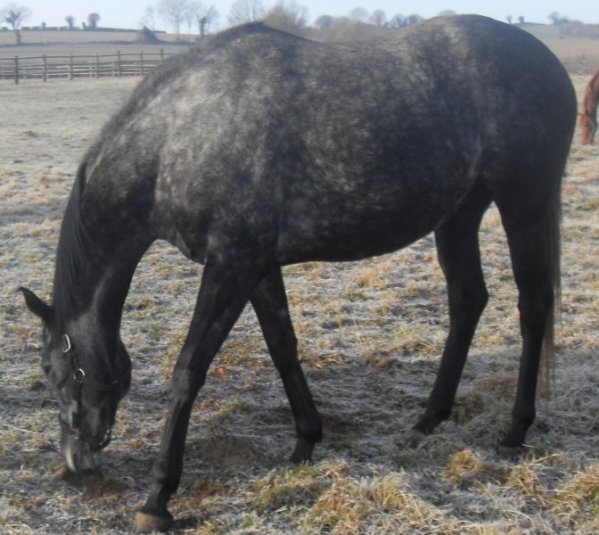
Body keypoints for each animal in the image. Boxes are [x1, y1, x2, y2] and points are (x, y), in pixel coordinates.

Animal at [22, 15, 576, 532]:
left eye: (53, 369)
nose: (75, 463)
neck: (181, 137)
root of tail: (549, 63)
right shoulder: (258, 267)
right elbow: (283, 347)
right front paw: (306, 440)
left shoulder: (231, 266)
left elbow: (188, 371)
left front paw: (158, 498)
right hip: (459, 214)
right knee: (467, 300)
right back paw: (427, 420)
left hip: (523, 205)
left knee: (532, 307)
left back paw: (514, 431)